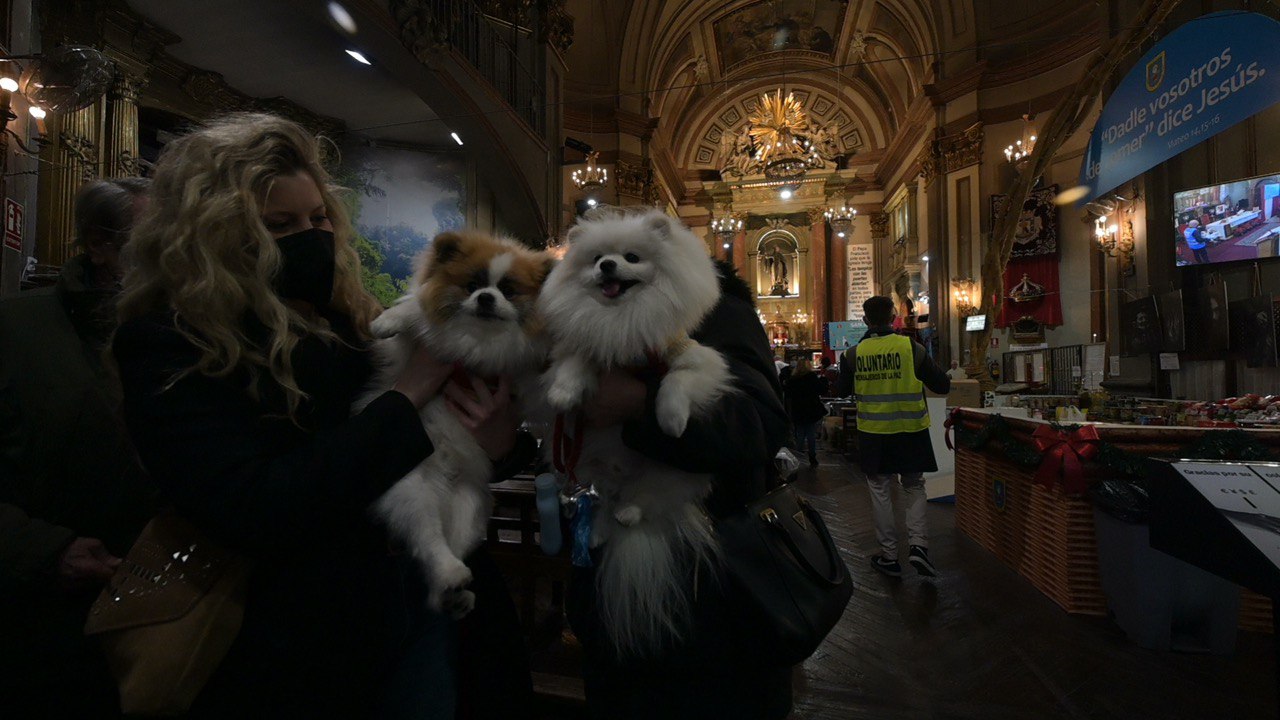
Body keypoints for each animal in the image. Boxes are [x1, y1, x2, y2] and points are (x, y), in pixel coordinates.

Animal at [359, 231, 552, 616]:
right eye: (472, 286)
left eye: (509, 291)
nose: (486, 298)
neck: (478, 341)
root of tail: (443, 489)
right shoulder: (418, 350)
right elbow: (417, 309)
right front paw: (386, 322)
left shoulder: (521, 375)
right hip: (412, 488)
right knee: (429, 538)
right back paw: (450, 577)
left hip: (472, 507)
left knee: (449, 547)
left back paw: (453, 592)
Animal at [538, 207, 732, 656]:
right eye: (596, 260)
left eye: (631, 257)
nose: (608, 266)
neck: (620, 321)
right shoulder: (589, 349)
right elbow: (574, 364)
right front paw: (563, 394)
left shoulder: (694, 359)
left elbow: (676, 382)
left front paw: (671, 419)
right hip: (584, 467)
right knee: (600, 503)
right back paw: (596, 533)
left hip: (668, 474)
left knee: (643, 501)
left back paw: (628, 512)